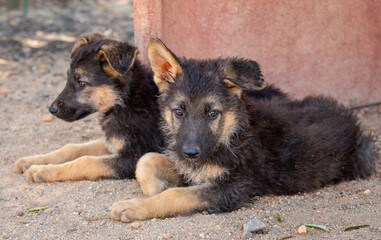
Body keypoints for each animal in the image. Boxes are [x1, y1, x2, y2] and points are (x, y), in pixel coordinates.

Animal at [13, 33, 163, 183]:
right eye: (68, 79)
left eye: (81, 83)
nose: (52, 110)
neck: (125, 100)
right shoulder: (112, 141)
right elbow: (71, 148)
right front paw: (30, 160)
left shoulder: (136, 155)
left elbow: (85, 161)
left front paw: (43, 170)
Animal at [108, 36, 376, 222]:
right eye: (179, 112)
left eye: (212, 113)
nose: (191, 152)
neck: (231, 135)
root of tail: (347, 115)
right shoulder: (191, 165)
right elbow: (146, 160)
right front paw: (155, 186)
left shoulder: (233, 187)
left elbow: (177, 195)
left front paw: (134, 206)